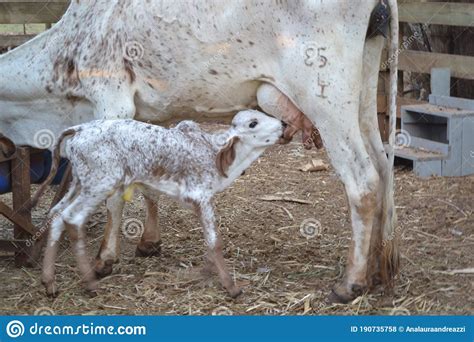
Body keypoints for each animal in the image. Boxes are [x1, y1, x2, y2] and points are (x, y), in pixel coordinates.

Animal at [34, 109, 286, 296]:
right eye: (253, 123)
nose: (284, 123)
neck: (213, 153)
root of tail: (79, 129)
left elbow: (209, 244)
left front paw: (206, 272)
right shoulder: (202, 197)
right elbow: (215, 242)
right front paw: (231, 286)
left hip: (79, 182)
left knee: (56, 214)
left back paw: (49, 282)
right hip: (99, 184)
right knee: (72, 218)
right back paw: (89, 283)